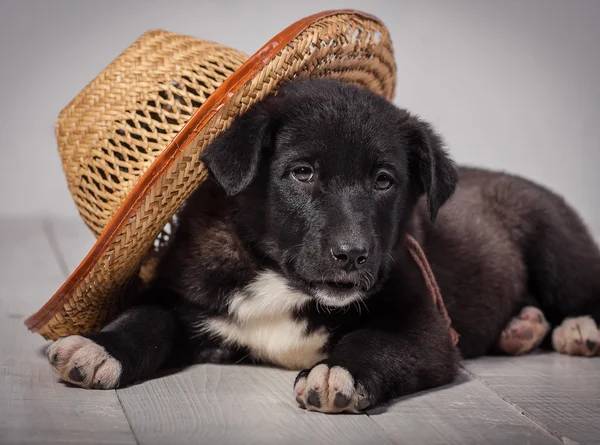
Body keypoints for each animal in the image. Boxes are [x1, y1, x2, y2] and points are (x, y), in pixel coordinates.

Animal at [47, 77, 600, 412]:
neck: (280, 280)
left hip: (557, 244)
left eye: (384, 181)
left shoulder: (425, 323)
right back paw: (522, 329)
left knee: (581, 291)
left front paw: (337, 371)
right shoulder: (181, 293)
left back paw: (572, 329)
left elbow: (375, 341)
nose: (352, 255)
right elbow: (145, 318)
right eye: (302, 173)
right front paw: (100, 348)